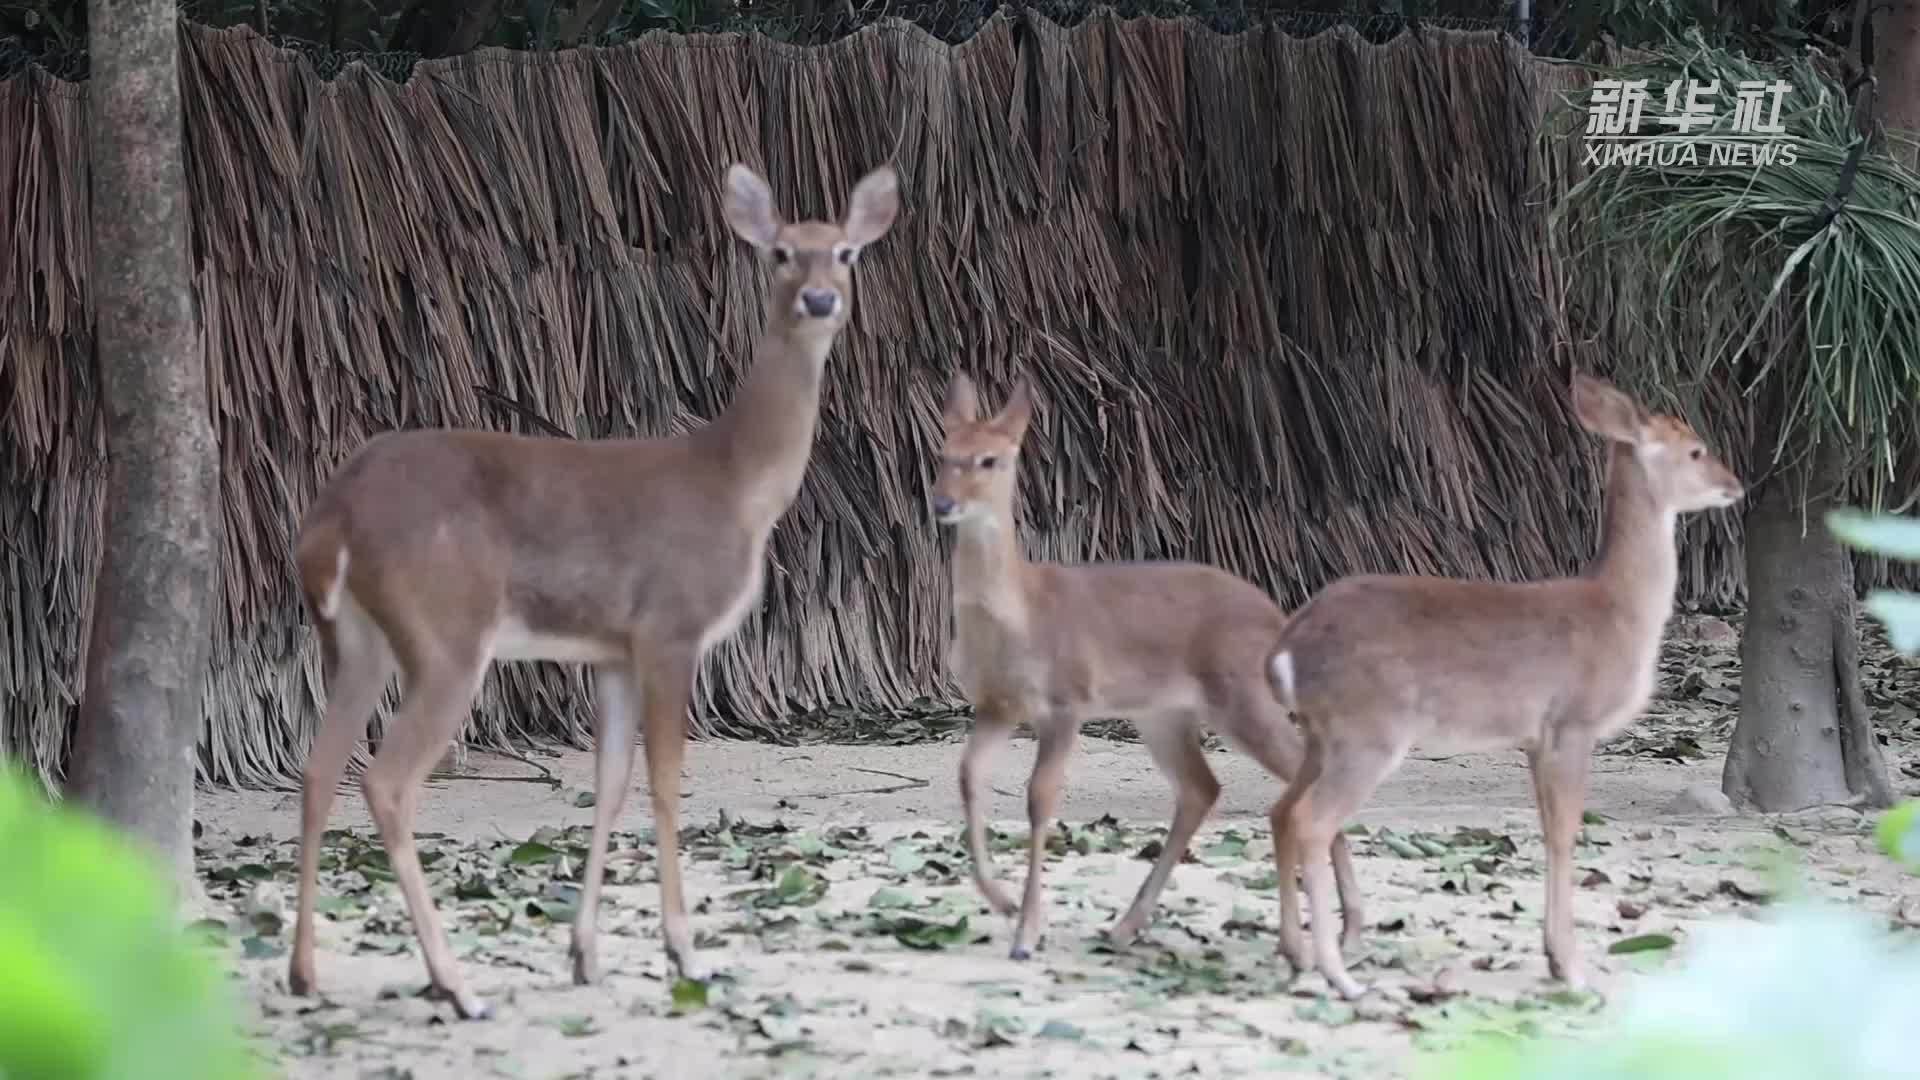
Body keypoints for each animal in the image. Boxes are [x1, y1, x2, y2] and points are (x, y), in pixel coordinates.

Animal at [288, 161, 902, 1014]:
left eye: (844, 251)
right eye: (780, 251)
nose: (819, 300)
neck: (735, 482)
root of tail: (330, 518)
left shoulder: (611, 650)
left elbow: (610, 786)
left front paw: (585, 955)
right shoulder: (671, 626)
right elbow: (668, 784)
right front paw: (685, 952)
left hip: (358, 639)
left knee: (319, 770)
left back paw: (306, 973)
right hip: (446, 632)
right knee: (386, 781)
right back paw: (456, 984)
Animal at [929, 372, 1367, 957]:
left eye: (990, 460)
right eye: (943, 451)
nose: (943, 504)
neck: (1018, 615)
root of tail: (1279, 619)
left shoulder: (1066, 701)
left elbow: (1039, 799)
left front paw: (1026, 932)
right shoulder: (995, 704)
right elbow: (968, 777)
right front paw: (1000, 902)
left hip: (1241, 699)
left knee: (1295, 772)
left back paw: (1349, 927)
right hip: (1162, 714)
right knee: (1202, 788)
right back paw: (1125, 925)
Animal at [1267, 368, 1751, 991]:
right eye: (1695, 449)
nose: (1735, 485)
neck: (1617, 612)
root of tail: (1286, 648)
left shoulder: (1534, 738)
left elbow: (1547, 831)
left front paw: (1553, 957)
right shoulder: (1573, 720)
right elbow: (1567, 832)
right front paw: (1574, 968)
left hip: (1319, 734)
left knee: (1281, 812)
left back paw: (1295, 954)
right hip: (1366, 730)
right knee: (1311, 820)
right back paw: (1340, 975)